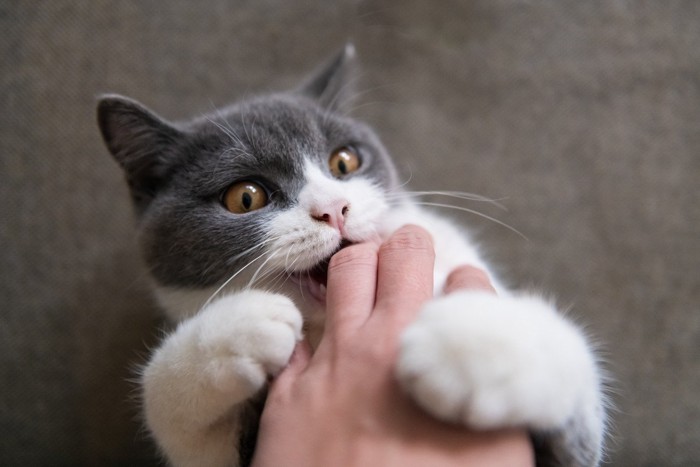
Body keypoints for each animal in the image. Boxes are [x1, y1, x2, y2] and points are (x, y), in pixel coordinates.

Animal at [98, 44, 608, 467]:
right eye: (245, 197)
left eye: (344, 161)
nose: (333, 209)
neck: (326, 327)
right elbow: (168, 407)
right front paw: (239, 326)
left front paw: (474, 346)